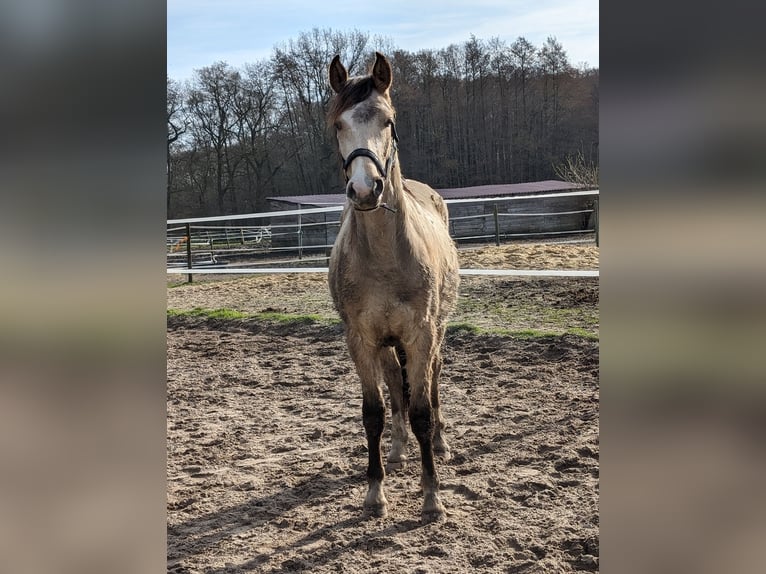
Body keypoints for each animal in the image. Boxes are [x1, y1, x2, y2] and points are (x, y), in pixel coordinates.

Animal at [326, 51, 460, 524]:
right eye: (338, 124)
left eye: (387, 121)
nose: (366, 189)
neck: (386, 256)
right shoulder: (362, 340)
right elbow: (375, 412)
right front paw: (375, 492)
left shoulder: (421, 335)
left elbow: (420, 411)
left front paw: (432, 497)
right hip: (387, 344)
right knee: (393, 390)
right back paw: (400, 449)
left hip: (436, 335)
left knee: (431, 384)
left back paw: (439, 443)